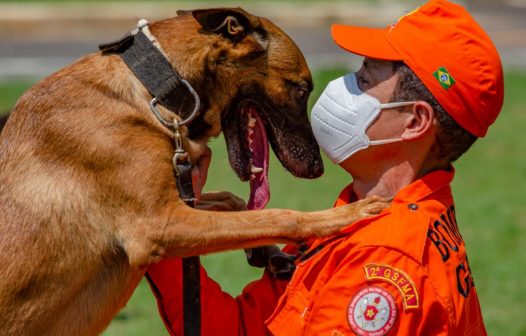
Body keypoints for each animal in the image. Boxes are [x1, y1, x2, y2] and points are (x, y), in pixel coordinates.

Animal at [0, 8, 388, 336]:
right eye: (302, 88)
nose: (317, 168)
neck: (154, 90)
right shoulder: (159, 224)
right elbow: (279, 215)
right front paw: (344, 215)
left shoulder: (180, 202)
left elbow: (235, 203)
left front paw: (269, 252)